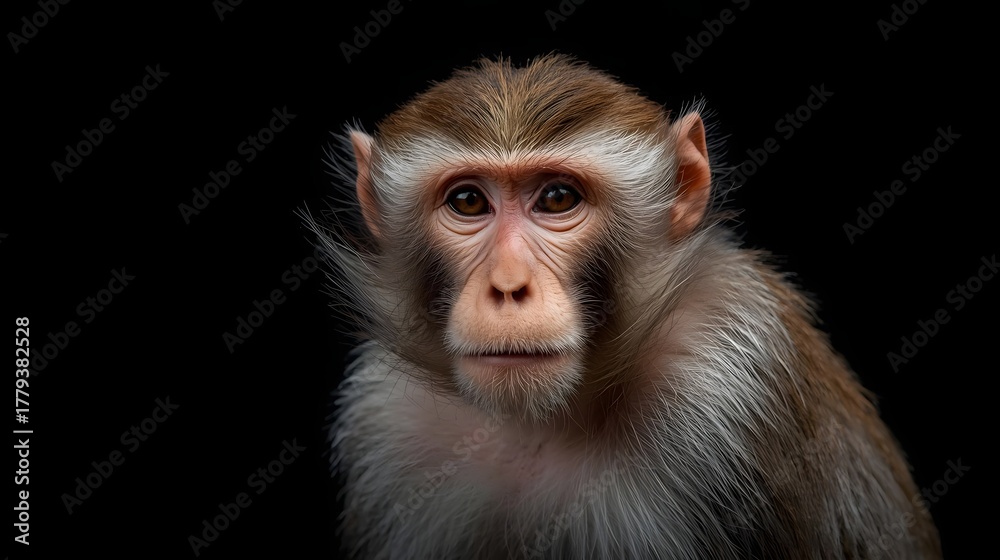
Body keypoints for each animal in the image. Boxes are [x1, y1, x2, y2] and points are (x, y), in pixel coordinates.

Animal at [305, 54, 942, 559]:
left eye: (557, 198)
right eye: (467, 202)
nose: (508, 286)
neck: (546, 422)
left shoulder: (731, 383)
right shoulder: (382, 422)